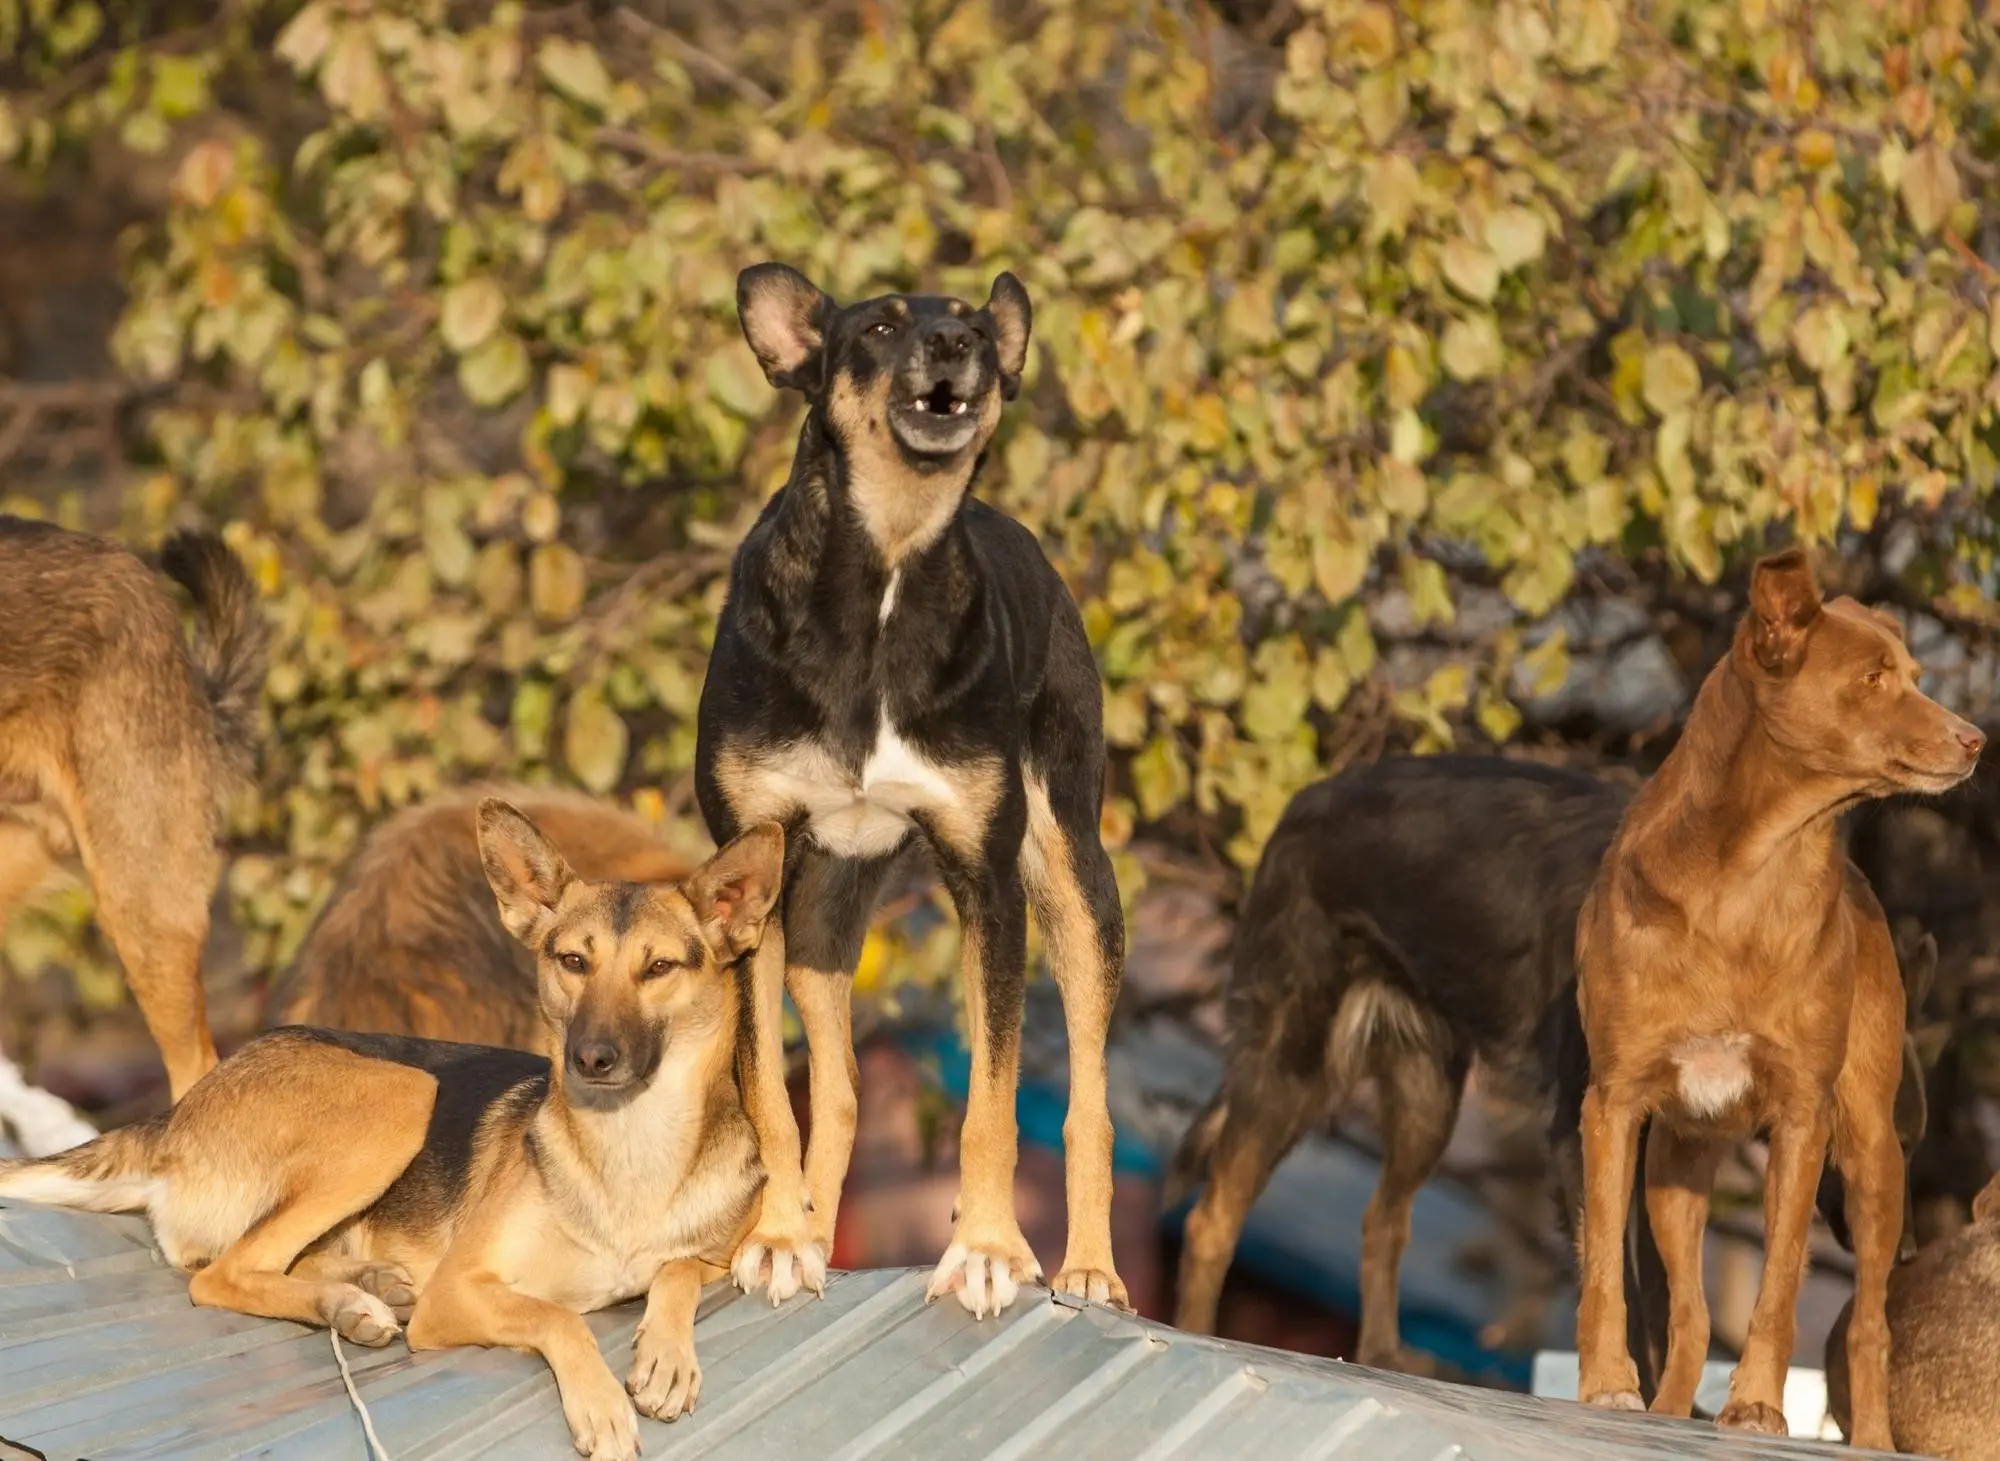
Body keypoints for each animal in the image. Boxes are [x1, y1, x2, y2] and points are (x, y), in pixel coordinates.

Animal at [696, 258, 1128, 1312]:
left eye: (969, 319)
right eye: (883, 327)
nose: (957, 346)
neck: (884, 569)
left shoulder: (990, 883)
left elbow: (994, 1102)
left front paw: (987, 1248)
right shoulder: (748, 880)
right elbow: (770, 1091)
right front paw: (778, 1238)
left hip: (1073, 879)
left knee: (1087, 1097)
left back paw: (1090, 1266)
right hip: (822, 909)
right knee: (841, 1088)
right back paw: (811, 1230)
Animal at [1576, 548, 1984, 1448]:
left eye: (1914, 675)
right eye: (1873, 678)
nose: (1977, 738)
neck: (1750, 872)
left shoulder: (1804, 1112)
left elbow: (1781, 1284)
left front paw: (1759, 1403)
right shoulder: (1613, 1101)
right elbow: (1605, 1268)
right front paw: (1607, 1384)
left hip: (1874, 1153)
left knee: (1868, 1322)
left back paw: (1872, 1441)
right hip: (1675, 1165)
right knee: (1692, 1316)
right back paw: (1669, 1409)